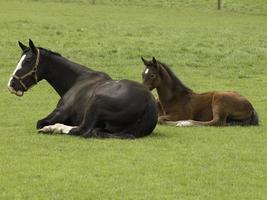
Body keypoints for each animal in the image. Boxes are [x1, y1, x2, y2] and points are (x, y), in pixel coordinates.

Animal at [7, 39, 159, 138]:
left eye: (27, 61)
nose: (11, 84)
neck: (77, 80)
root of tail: (149, 104)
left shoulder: (60, 113)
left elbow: (39, 123)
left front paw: (50, 127)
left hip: (96, 102)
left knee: (82, 130)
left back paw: (54, 128)